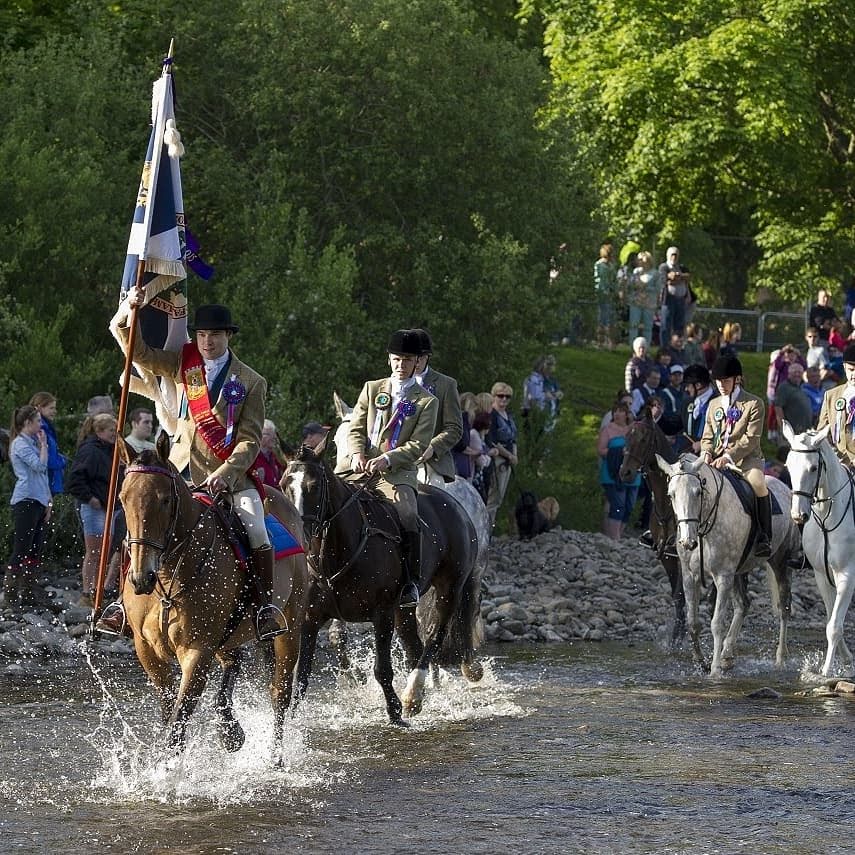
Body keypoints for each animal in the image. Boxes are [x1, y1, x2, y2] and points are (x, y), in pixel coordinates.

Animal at [115, 434, 310, 756]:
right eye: (122, 498)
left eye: (164, 500)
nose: (142, 578)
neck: (168, 577)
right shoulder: (147, 650)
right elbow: (168, 713)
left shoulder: (197, 651)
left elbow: (178, 724)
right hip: (228, 635)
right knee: (233, 662)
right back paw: (230, 728)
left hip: (290, 630)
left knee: (279, 694)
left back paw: (274, 759)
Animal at [284, 438, 484, 724]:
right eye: (284, 486)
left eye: (314, 486)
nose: (299, 535)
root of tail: (456, 505)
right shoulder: (310, 619)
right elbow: (300, 676)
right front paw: (290, 723)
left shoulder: (382, 614)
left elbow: (382, 669)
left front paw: (395, 712)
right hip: (405, 609)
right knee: (415, 647)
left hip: (450, 590)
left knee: (434, 638)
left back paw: (412, 696)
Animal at [620, 412, 688, 644]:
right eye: (626, 438)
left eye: (643, 439)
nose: (625, 473)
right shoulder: (666, 556)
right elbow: (678, 597)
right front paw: (676, 637)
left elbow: (682, 594)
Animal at [656, 452, 804, 680]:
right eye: (671, 494)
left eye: (697, 492)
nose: (687, 542)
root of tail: (786, 488)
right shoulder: (690, 576)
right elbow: (692, 622)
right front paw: (701, 661)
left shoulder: (722, 576)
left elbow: (717, 623)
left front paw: (714, 669)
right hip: (739, 572)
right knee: (743, 605)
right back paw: (727, 655)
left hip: (780, 564)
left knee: (784, 608)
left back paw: (779, 659)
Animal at [784, 420, 855, 676]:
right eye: (788, 466)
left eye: (814, 468)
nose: (798, 515)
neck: (827, 518)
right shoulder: (822, 576)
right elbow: (832, 620)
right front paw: (846, 660)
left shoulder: (847, 575)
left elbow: (834, 627)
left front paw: (825, 671)